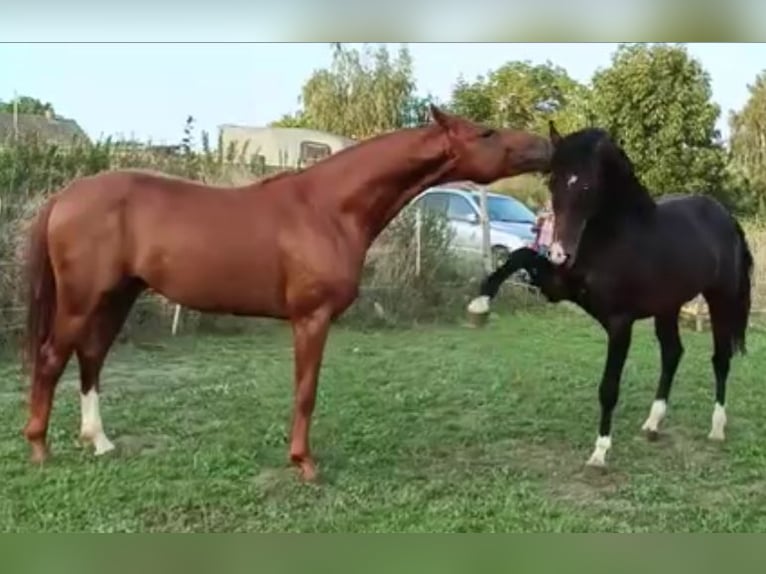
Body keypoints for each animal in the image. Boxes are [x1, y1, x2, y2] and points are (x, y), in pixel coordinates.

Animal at [20, 105, 552, 481]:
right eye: (485, 133)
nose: (545, 145)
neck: (328, 208)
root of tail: (65, 196)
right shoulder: (311, 318)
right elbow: (306, 392)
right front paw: (305, 464)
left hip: (117, 296)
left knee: (90, 358)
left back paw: (99, 442)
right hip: (82, 299)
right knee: (52, 359)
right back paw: (40, 448)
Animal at [467, 121, 753, 469]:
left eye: (588, 185)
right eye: (553, 180)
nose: (560, 253)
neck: (613, 240)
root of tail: (726, 217)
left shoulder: (619, 323)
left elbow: (609, 388)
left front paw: (600, 451)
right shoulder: (557, 287)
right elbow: (520, 255)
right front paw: (479, 305)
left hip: (719, 299)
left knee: (720, 359)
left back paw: (716, 428)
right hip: (668, 307)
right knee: (672, 353)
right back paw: (653, 423)